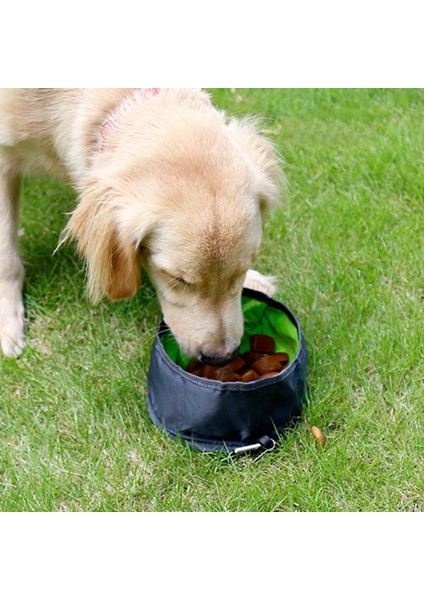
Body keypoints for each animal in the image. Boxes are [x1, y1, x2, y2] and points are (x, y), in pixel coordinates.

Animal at [1, 88, 284, 360]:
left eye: (242, 269)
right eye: (177, 279)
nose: (222, 357)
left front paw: (255, 279)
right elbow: (7, 258)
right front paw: (8, 321)